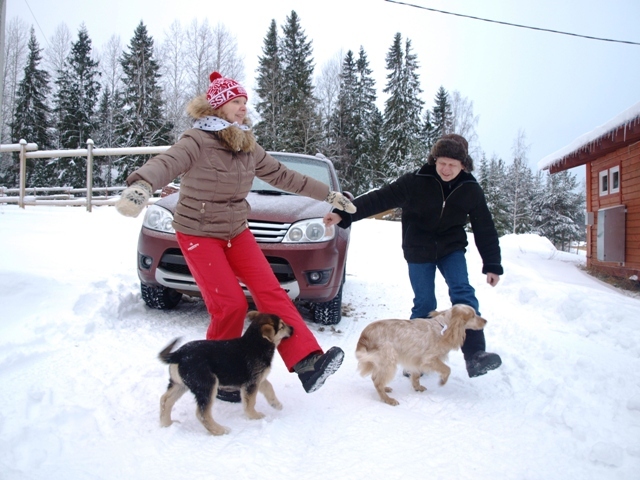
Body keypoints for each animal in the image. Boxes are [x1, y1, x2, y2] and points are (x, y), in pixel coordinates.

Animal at [158, 312, 292, 436]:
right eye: (282, 326)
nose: (292, 329)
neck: (256, 342)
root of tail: (178, 354)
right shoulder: (251, 383)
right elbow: (250, 403)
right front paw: (255, 416)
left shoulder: (259, 379)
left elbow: (269, 388)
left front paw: (276, 404)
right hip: (207, 384)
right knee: (202, 413)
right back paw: (219, 430)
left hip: (180, 384)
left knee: (165, 400)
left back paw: (167, 424)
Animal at [356, 304, 484, 404]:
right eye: (473, 316)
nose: (485, 321)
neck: (444, 327)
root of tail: (363, 336)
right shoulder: (429, 359)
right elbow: (447, 369)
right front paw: (442, 381)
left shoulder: (416, 359)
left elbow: (416, 376)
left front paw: (417, 387)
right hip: (389, 360)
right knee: (377, 381)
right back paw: (388, 399)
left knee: (375, 378)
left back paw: (385, 389)